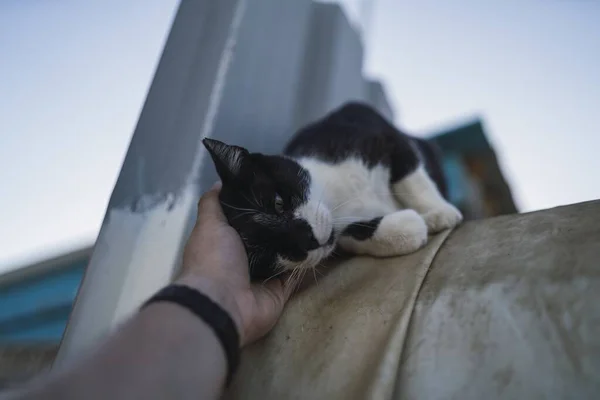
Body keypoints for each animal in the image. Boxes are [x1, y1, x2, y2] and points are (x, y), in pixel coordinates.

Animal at [204, 101, 462, 280]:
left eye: (277, 203)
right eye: (266, 254)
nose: (306, 240)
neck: (338, 198)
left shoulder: (376, 135)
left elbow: (410, 175)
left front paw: (439, 213)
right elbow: (348, 234)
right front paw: (407, 229)